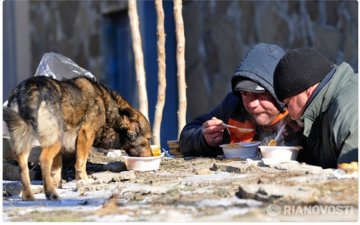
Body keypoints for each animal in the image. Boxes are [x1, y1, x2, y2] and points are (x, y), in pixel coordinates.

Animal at [4, 75, 153, 200]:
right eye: (148, 139)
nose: (152, 156)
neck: (107, 107)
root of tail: (30, 88)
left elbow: (57, 168)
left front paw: (58, 185)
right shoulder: (86, 134)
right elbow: (81, 162)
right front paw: (84, 181)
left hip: (24, 142)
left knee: (23, 166)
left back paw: (29, 196)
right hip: (55, 140)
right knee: (44, 159)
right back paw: (50, 193)